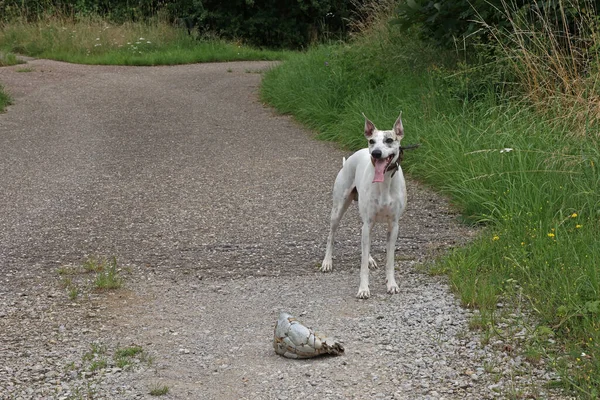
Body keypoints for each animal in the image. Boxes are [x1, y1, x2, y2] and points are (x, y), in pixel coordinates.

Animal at [318, 114, 408, 298]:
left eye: (389, 140)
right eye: (372, 141)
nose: (376, 153)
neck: (385, 183)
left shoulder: (393, 225)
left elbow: (390, 260)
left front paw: (392, 284)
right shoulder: (368, 223)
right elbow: (362, 265)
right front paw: (363, 289)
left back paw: (371, 259)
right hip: (338, 209)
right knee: (331, 235)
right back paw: (327, 262)